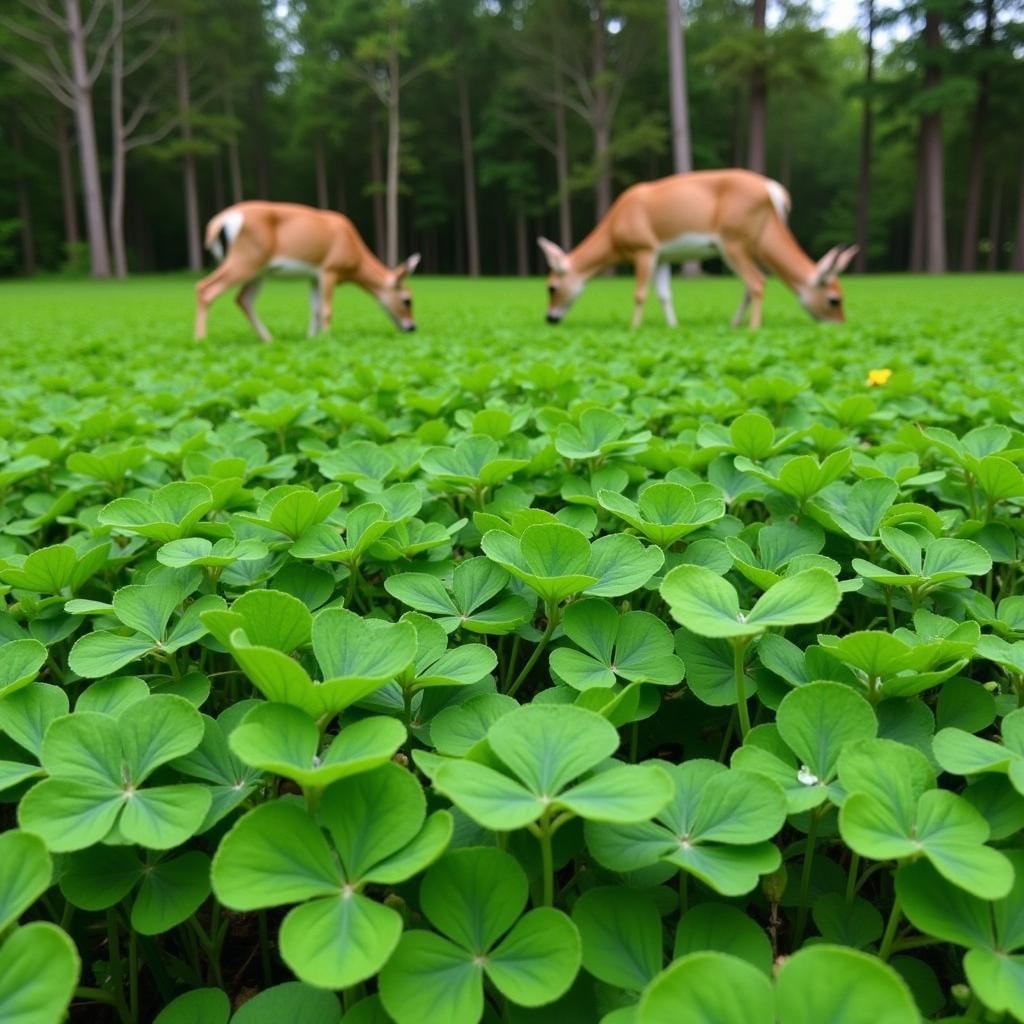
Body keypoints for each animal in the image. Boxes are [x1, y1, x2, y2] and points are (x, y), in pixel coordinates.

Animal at [195, 201, 419, 342]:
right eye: (407, 300)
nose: (411, 327)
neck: (355, 257)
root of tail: (218, 222)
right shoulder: (329, 269)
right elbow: (327, 310)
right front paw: (327, 338)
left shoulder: (313, 277)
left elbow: (315, 309)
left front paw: (311, 338)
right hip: (246, 259)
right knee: (206, 288)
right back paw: (200, 339)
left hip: (258, 270)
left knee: (243, 299)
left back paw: (268, 339)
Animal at [540, 167, 860, 327]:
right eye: (835, 299)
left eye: (552, 287)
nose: (550, 318)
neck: (613, 232)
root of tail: (772, 190)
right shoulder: (663, 256)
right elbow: (664, 294)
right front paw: (673, 326)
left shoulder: (645, 250)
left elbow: (640, 293)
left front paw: (634, 327)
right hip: (750, 243)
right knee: (753, 283)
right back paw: (735, 324)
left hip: (733, 242)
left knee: (756, 282)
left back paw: (751, 327)